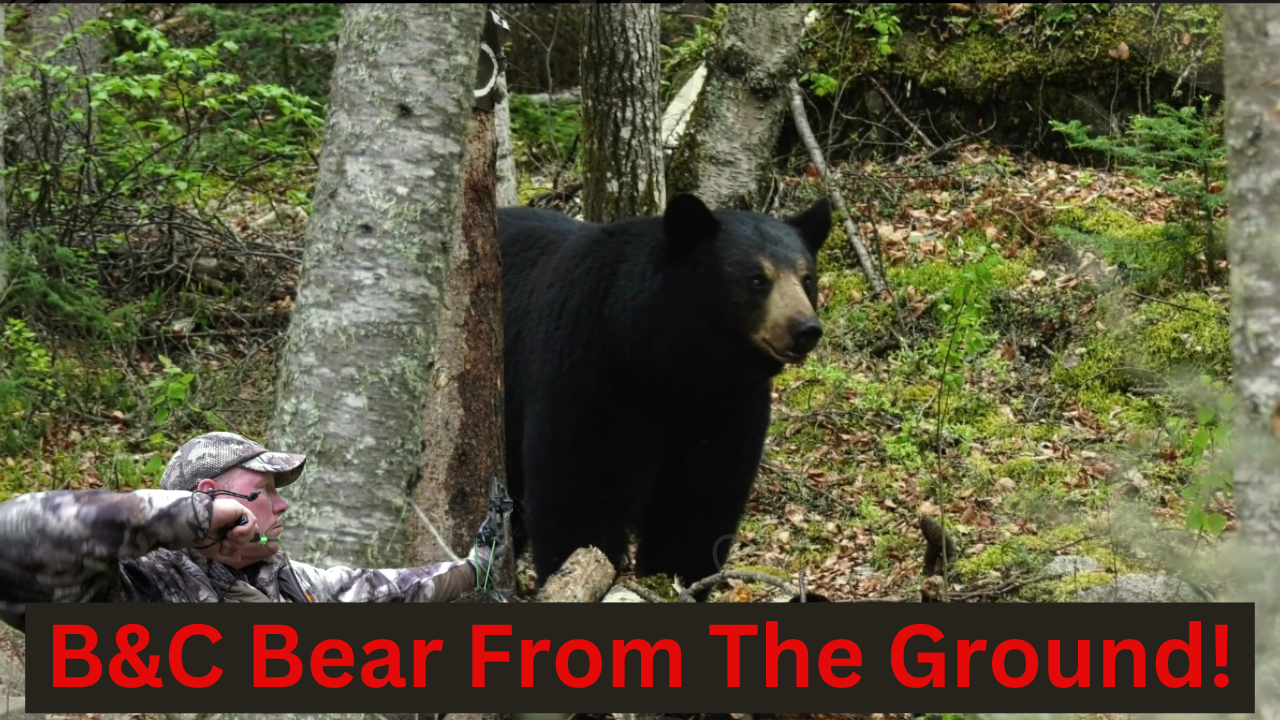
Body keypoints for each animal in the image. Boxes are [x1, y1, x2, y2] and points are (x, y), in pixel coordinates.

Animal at [497, 192, 831, 598]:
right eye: (757, 279)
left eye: (807, 278)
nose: (805, 329)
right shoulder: (585, 365)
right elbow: (577, 487)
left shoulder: (726, 404)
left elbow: (698, 499)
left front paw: (675, 579)